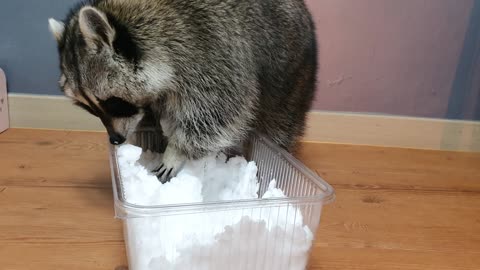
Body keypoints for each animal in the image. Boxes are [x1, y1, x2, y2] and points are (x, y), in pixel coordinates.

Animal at [48, 0, 318, 182]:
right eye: (90, 109)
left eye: (113, 102)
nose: (115, 139)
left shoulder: (213, 55)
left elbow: (219, 112)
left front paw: (175, 151)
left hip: (291, 74)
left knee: (278, 124)